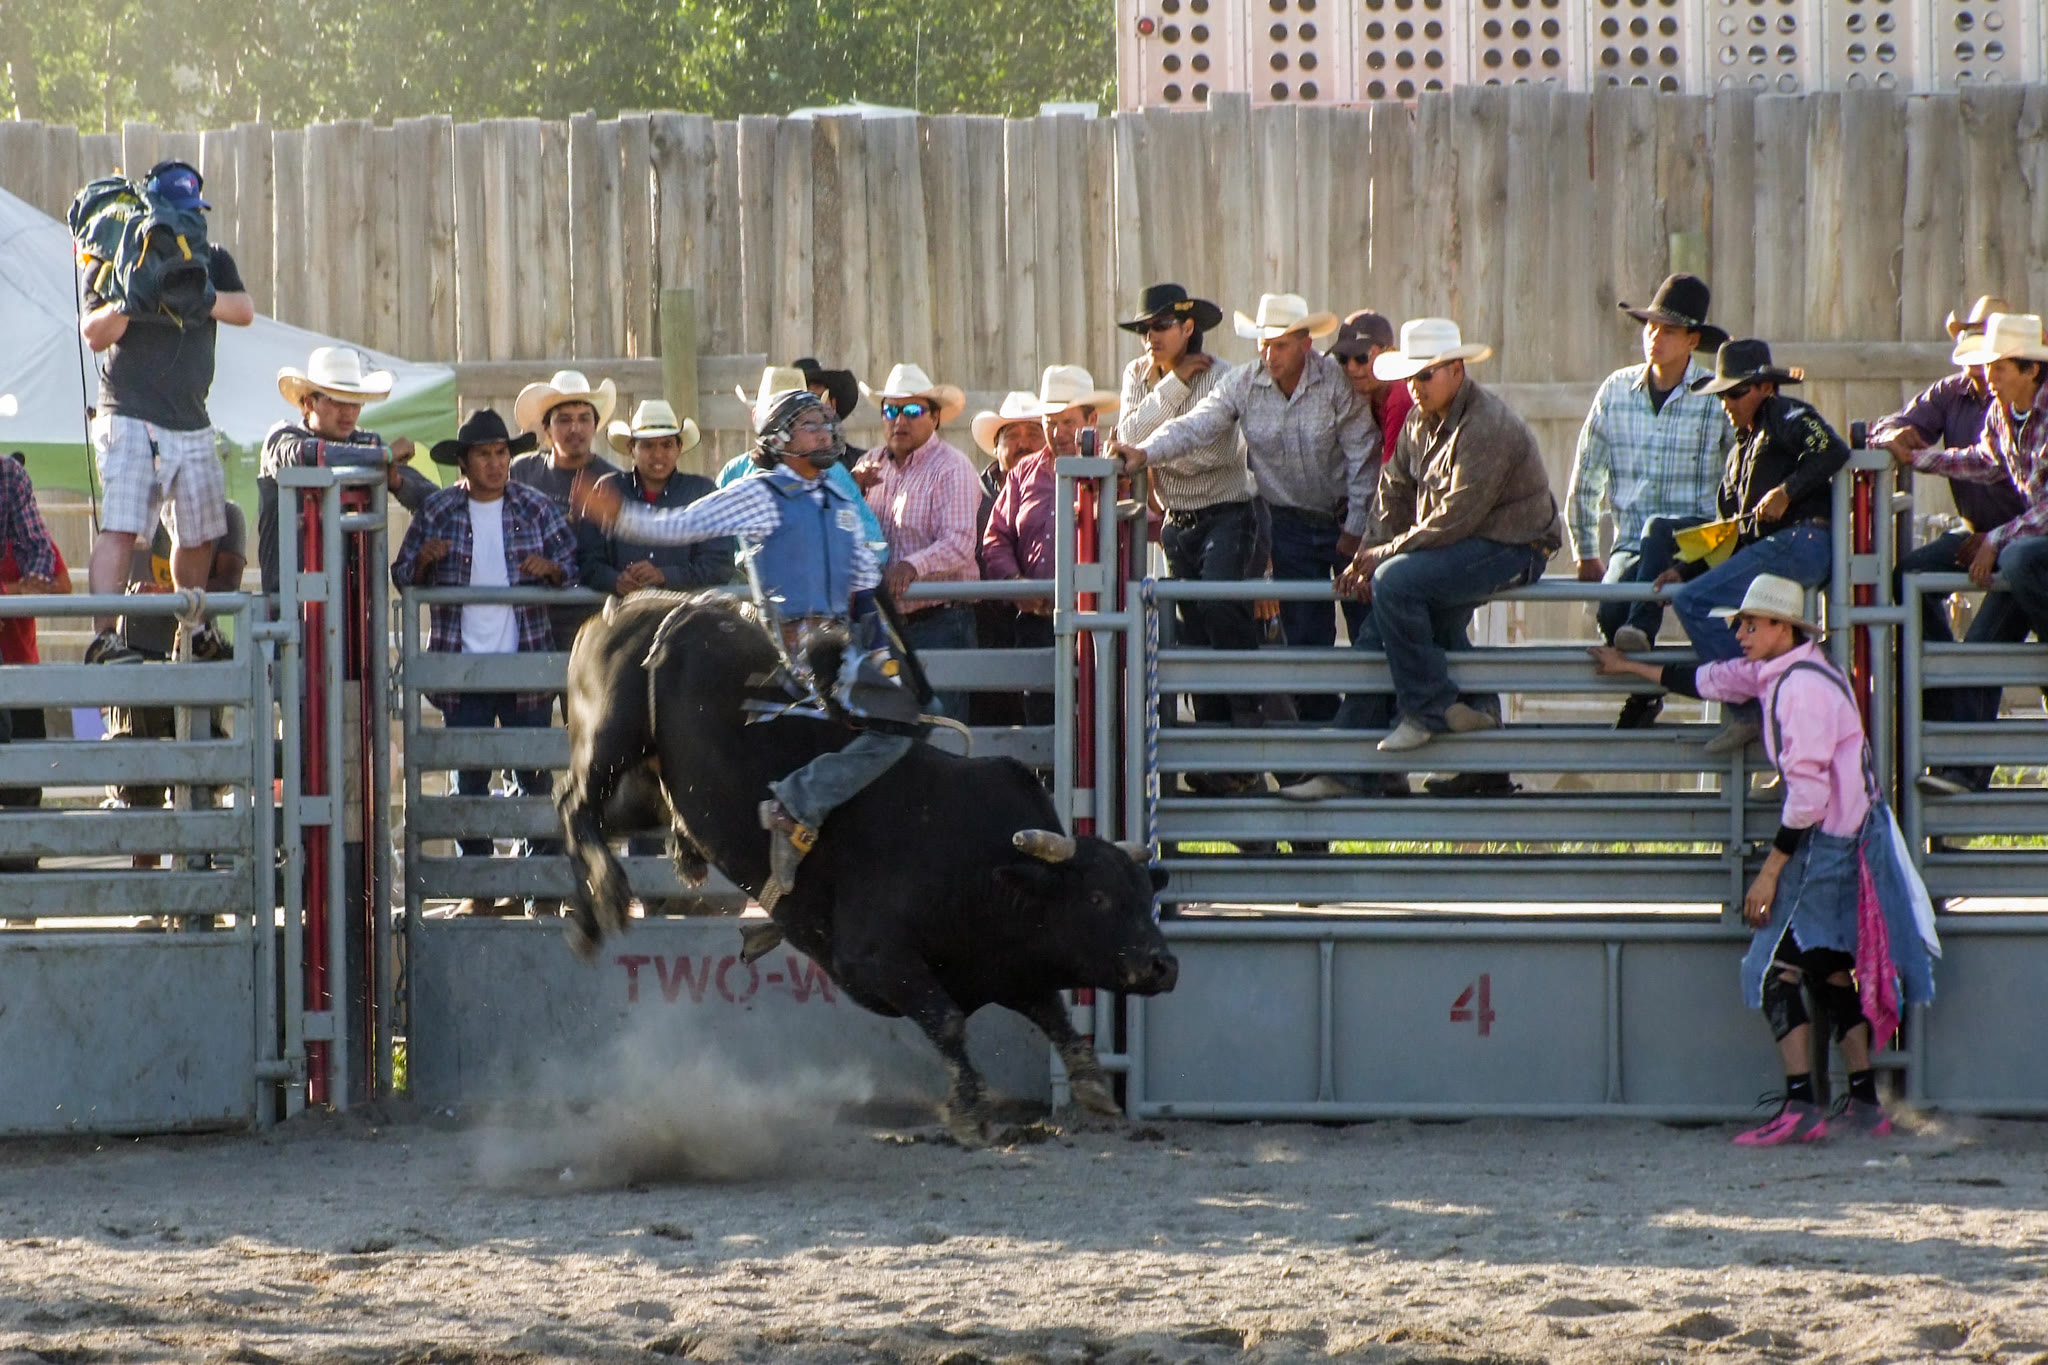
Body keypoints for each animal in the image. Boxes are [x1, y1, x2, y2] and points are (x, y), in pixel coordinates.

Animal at [556, 591, 1179, 1145]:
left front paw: (1092, 1084)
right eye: (1097, 898)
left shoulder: (1005, 966)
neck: (981, 862)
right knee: (574, 802)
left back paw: (588, 916)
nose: (1163, 965)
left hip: (650, 784)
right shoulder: (875, 959)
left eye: (1143, 894)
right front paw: (970, 1113)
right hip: (611, 738)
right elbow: (948, 1021)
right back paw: (609, 891)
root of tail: (637, 607)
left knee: (589, 819)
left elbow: (1050, 1011)